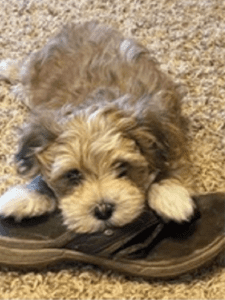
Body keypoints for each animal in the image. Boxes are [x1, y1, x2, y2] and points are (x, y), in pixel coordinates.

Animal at [0, 21, 194, 233]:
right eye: (73, 175)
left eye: (122, 167)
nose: (103, 210)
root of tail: (79, 26)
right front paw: (26, 196)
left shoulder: (170, 128)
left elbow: (167, 161)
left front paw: (170, 193)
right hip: (35, 72)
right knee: (24, 71)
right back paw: (9, 70)